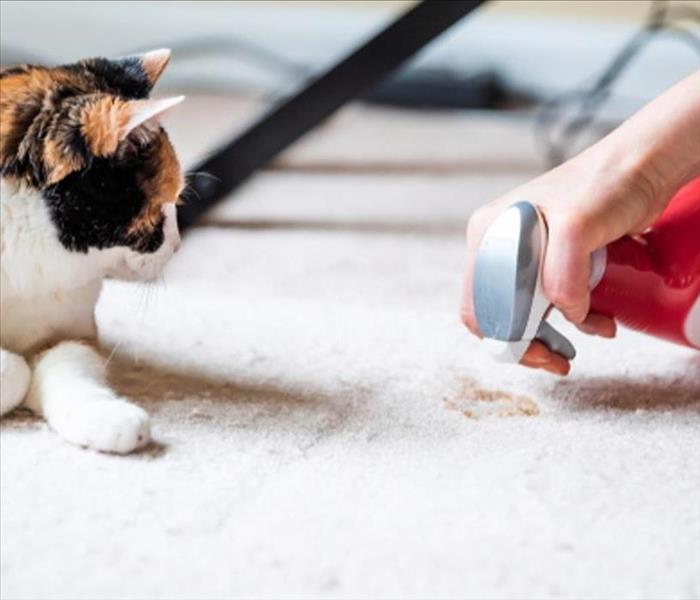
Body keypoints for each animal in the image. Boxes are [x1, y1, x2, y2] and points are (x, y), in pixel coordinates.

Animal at [0, 50, 185, 454]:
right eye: (162, 207)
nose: (178, 244)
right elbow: (13, 371)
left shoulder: (71, 331)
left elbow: (69, 366)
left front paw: (110, 419)